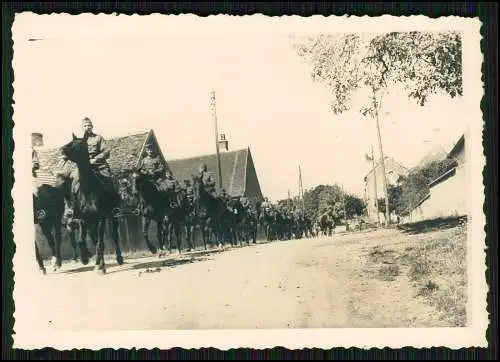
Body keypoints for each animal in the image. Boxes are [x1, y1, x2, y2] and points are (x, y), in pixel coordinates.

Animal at [59, 135, 125, 274]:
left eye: (78, 145)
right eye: (71, 141)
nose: (62, 150)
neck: (88, 189)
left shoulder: (101, 219)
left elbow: (100, 243)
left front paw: (101, 267)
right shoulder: (83, 220)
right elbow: (81, 241)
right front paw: (86, 258)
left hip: (112, 217)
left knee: (114, 236)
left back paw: (118, 258)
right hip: (91, 223)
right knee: (94, 239)